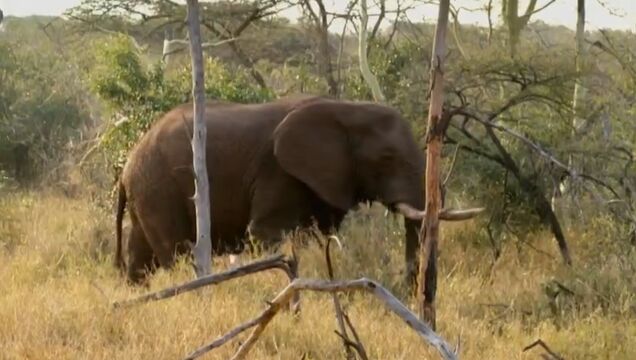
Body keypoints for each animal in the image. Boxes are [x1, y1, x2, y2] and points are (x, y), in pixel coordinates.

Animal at [114, 95, 432, 292]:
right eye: (387, 158)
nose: (408, 291)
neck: (346, 109)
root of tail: (127, 166)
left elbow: (318, 235)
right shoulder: (278, 172)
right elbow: (268, 232)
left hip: (148, 192)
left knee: (141, 258)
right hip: (158, 188)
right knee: (175, 252)